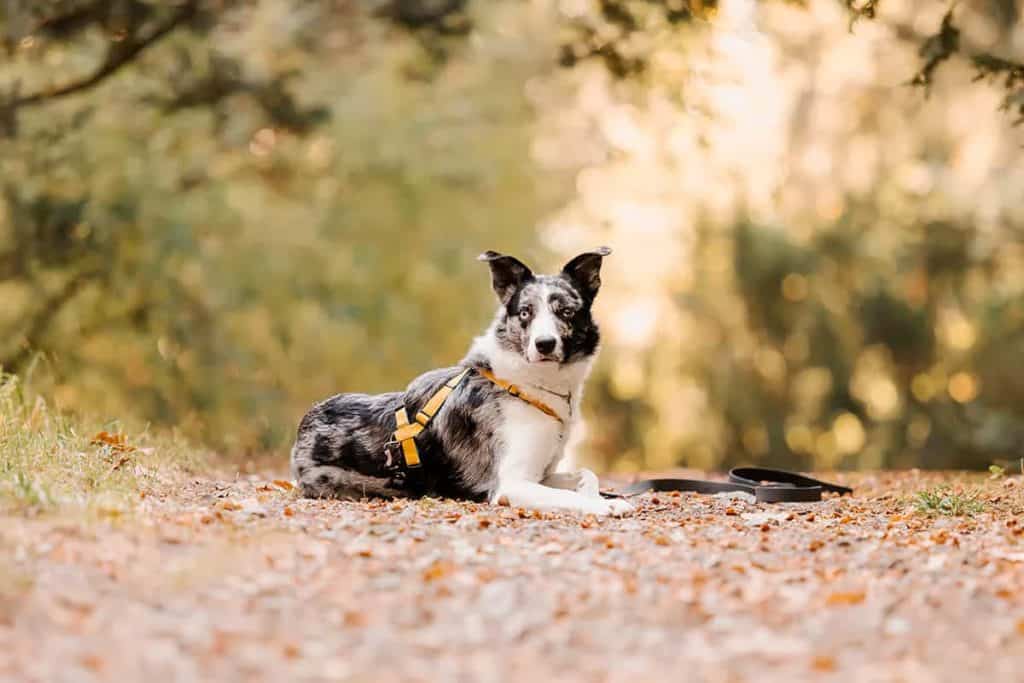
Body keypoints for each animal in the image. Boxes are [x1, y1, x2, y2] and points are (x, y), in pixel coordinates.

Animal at [290, 248, 630, 516]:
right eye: (525, 313)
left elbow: (587, 474)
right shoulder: (511, 484)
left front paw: (597, 495)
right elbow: (570, 496)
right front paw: (605, 505)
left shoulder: (541, 474)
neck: (528, 383)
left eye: (567, 312)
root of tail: (307, 419)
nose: (544, 344)